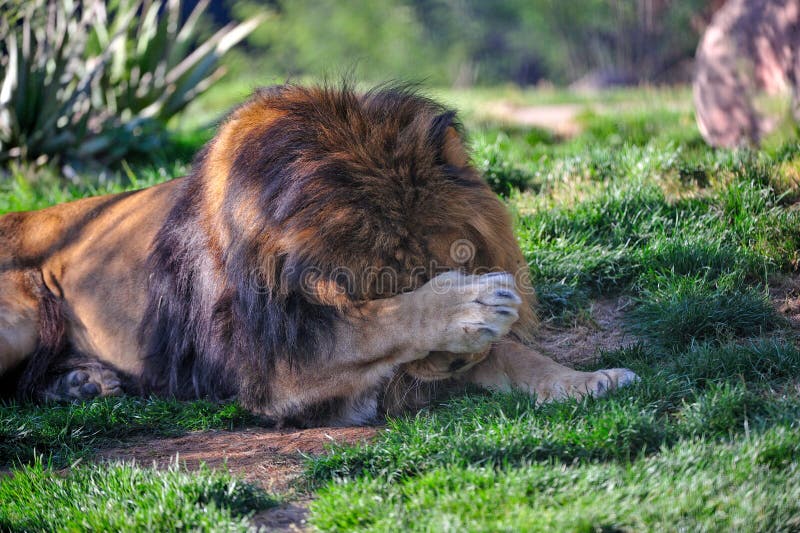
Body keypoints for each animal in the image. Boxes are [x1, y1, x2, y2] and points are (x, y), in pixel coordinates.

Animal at [0, 86, 636, 428]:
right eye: (391, 279)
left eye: (456, 255)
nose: (458, 365)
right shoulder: (273, 372)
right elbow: (376, 327)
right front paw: (469, 307)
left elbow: (515, 355)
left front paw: (585, 381)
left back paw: (81, 384)